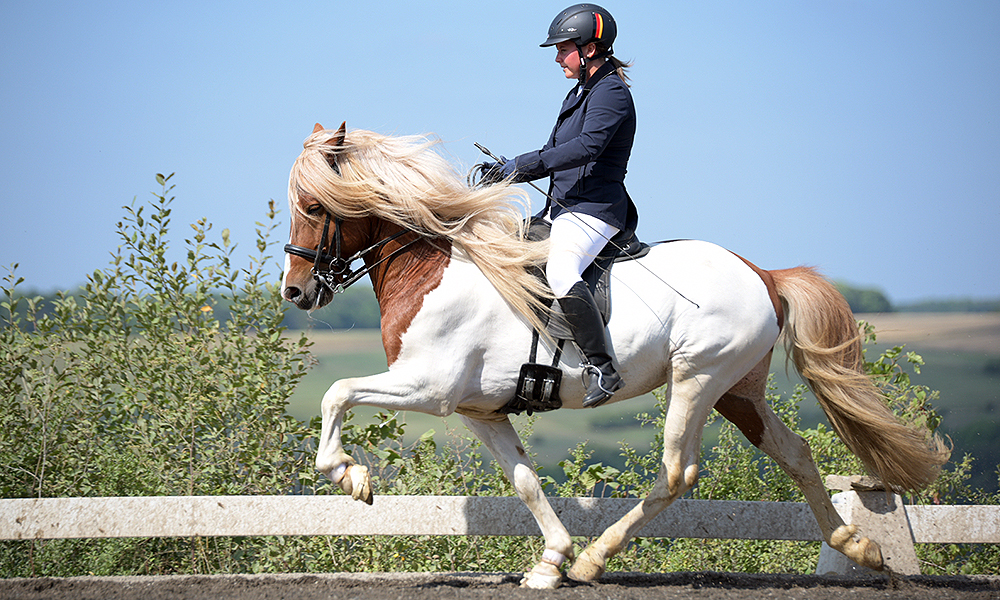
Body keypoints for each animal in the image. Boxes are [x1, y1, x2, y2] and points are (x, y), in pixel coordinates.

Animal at [280, 123, 944, 592]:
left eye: (313, 208)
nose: (295, 292)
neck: (431, 269)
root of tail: (761, 272)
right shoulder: (479, 409)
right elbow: (525, 481)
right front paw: (549, 562)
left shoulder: (429, 387)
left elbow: (338, 392)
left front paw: (351, 477)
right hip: (738, 390)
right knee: (797, 454)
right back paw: (859, 547)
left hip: (697, 378)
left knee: (678, 472)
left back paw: (597, 560)